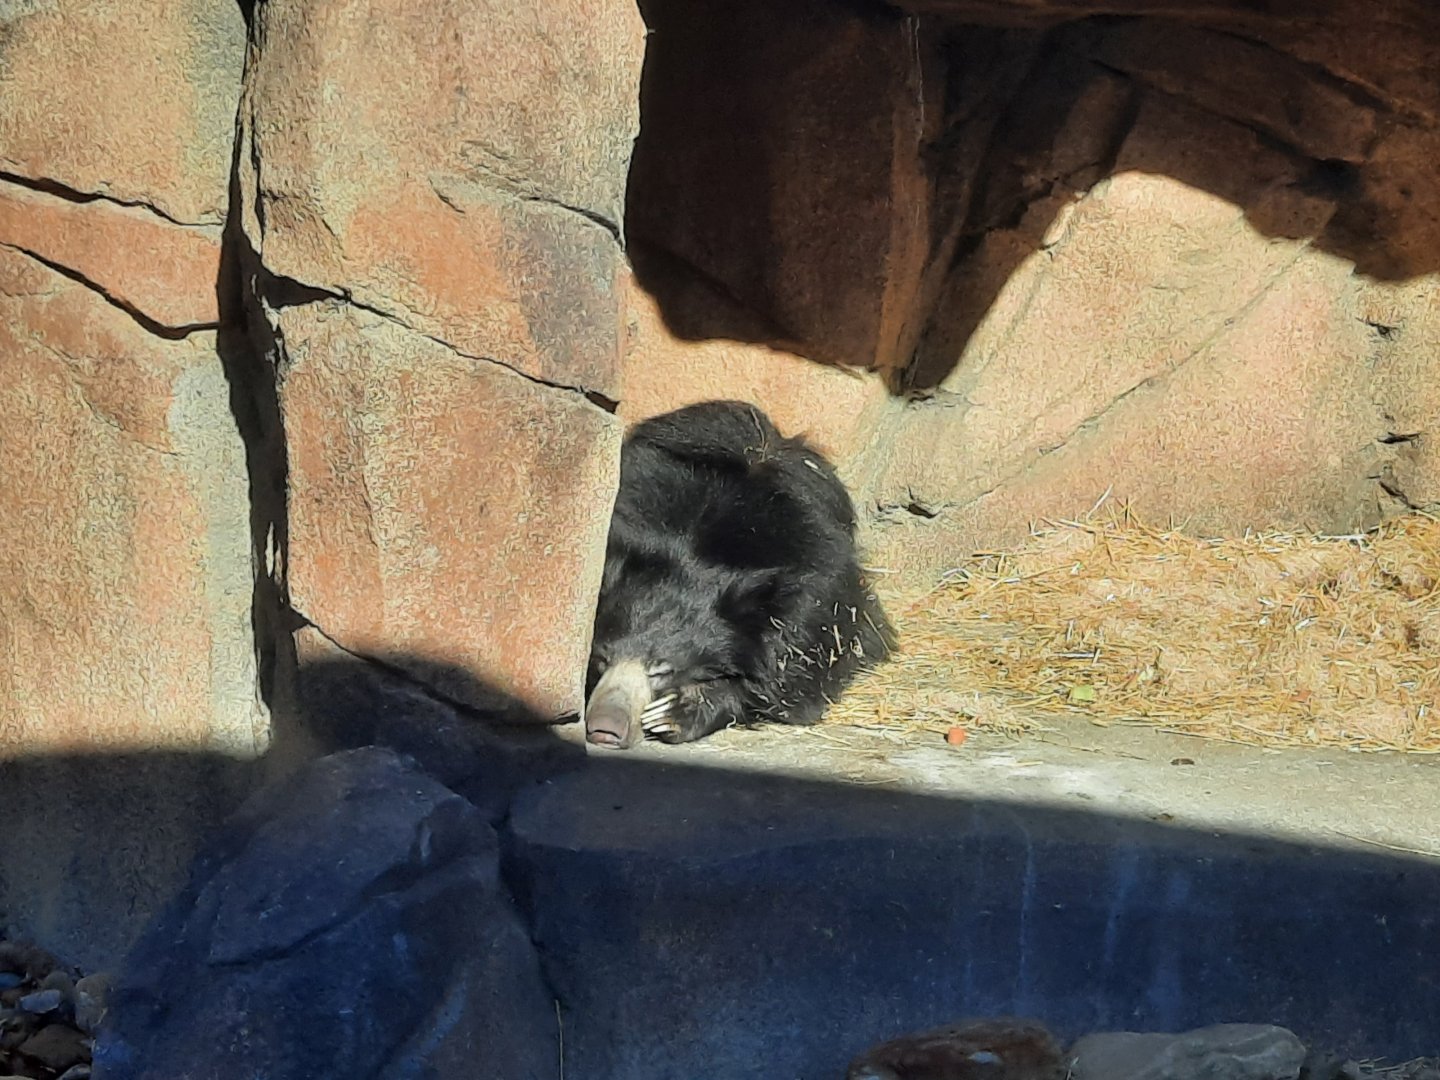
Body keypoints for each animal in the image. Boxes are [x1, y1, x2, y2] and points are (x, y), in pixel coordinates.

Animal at [584, 400, 895, 749]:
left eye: (662, 670)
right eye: (601, 659)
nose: (605, 729)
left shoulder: (815, 602)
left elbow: (790, 680)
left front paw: (677, 711)